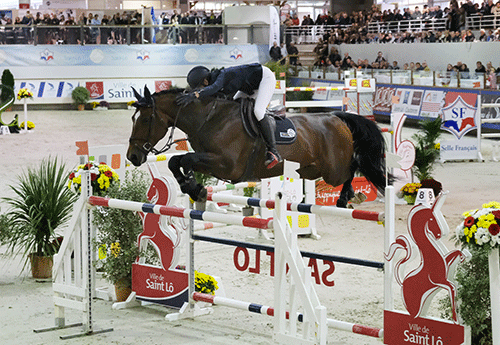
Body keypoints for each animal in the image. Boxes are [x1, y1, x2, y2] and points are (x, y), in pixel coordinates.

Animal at [127, 85, 388, 207]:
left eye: (147, 119)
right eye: (133, 118)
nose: (132, 156)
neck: (209, 119)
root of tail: (336, 117)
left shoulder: (226, 165)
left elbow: (187, 159)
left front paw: (193, 187)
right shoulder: (209, 160)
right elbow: (176, 160)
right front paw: (191, 187)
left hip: (332, 171)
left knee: (352, 168)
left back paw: (348, 197)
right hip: (312, 170)